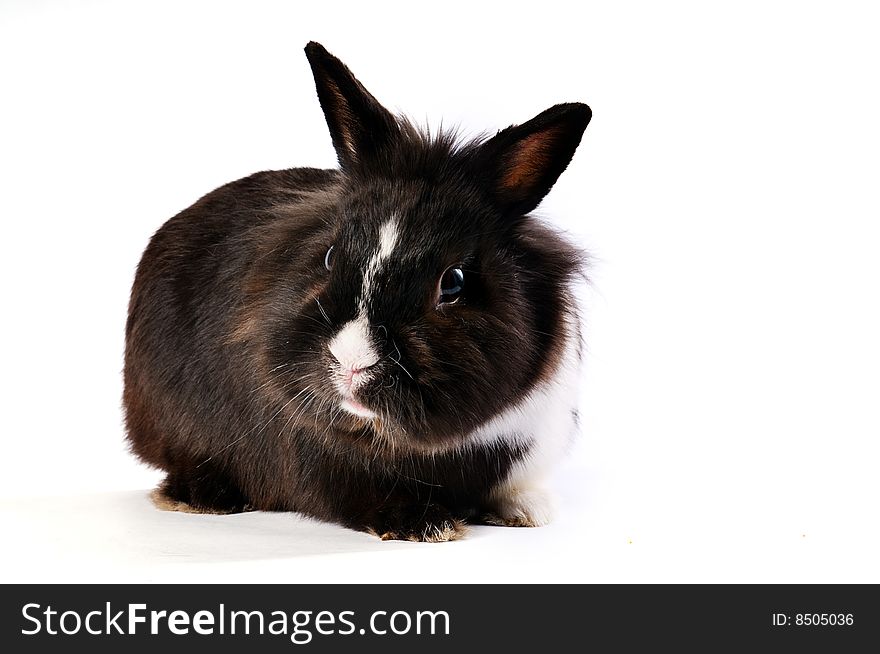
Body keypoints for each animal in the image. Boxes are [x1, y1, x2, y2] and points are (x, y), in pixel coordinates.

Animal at [124, 41, 592, 544]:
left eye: (454, 282)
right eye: (330, 256)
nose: (352, 364)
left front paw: (529, 510)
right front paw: (425, 524)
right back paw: (203, 498)